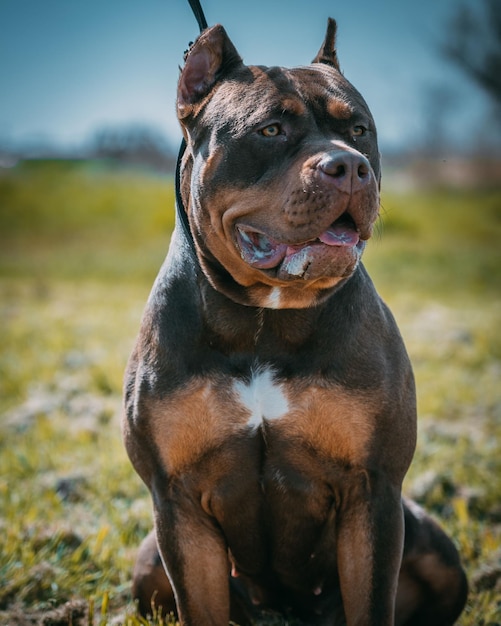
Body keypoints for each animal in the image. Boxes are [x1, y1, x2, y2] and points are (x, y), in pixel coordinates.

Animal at [123, 19, 466, 624]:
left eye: (359, 129)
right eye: (271, 129)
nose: (349, 166)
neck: (267, 316)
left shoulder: (373, 493)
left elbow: (373, 600)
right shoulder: (178, 504)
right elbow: (200, 604)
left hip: (438, 553)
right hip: (149, 562)